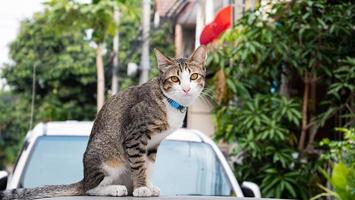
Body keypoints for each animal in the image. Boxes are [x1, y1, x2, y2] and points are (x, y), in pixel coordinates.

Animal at [0, 45, 209, 200]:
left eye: (193, 76)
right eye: (174, 78)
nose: (186, 89)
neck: (169, 102)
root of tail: (84, 177)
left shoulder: (153, 144)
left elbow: (148, 165)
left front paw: (147, 185)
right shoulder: (135, 135)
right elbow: (139, 165)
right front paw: (142, 188)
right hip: (105, 161)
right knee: (90, 189)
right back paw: (115, 189)